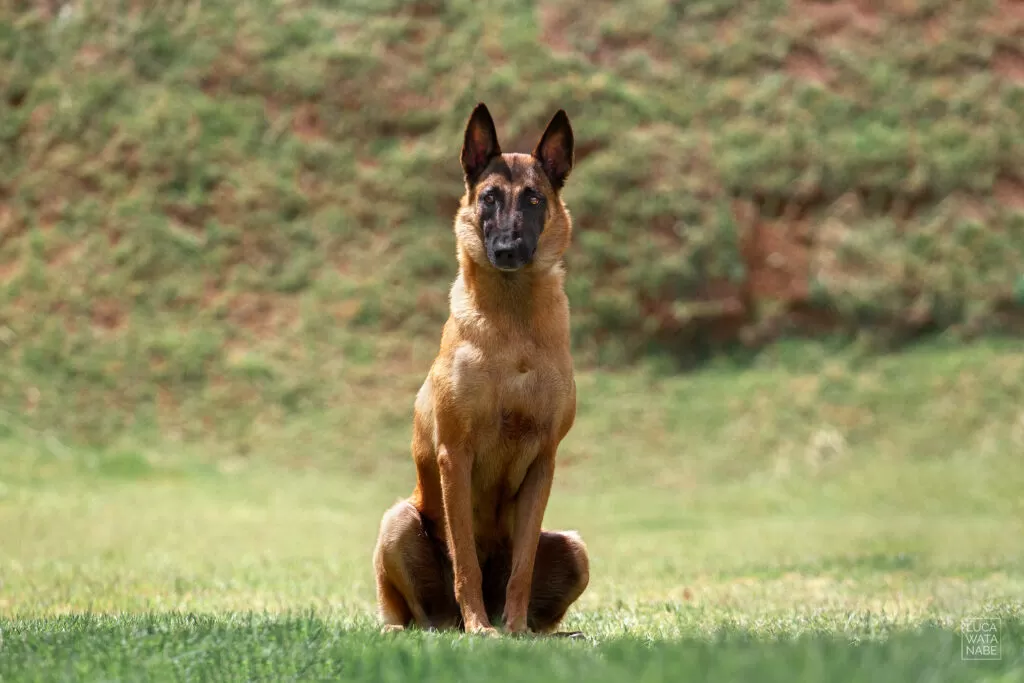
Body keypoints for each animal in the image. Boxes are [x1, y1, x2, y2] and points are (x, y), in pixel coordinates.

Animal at [372, 104, 589, 638]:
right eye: (489, 198)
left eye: (533, 198)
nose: (508, 249)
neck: (513, 326)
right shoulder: (456, 455)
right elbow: (466, 558)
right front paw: (481, 628)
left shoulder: (542, 461)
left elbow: (523, 565)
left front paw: (514, 628)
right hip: (398, 522)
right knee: (421, 615)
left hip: (576, 549)